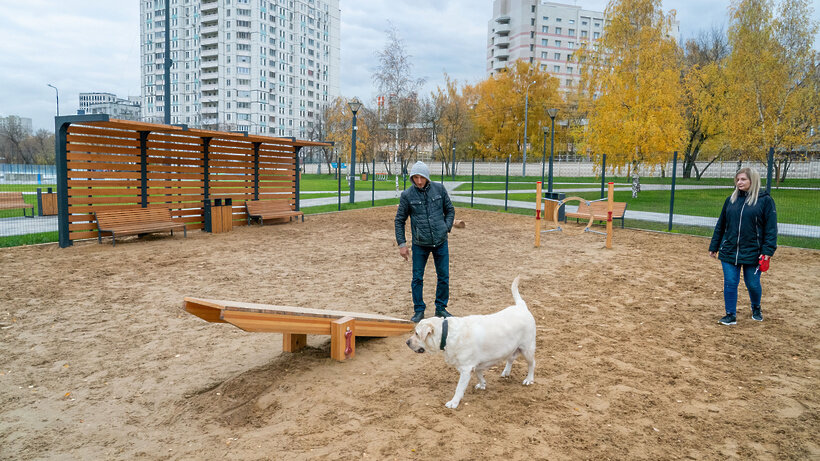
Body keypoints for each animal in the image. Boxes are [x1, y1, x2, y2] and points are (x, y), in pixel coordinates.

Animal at [406, 274, 540, 408]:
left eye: (417, 333)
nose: (407, 342)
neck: (447, 333)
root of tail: (521, 306)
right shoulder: (476, 364)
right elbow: (479, 374)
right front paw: (482, 384)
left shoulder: (466, 368)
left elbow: (459, 388)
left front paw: (454, 402)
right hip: (512, 347)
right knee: (511, 359)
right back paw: (506, 372)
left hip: (527, 348)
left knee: (532, 363)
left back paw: (529, 379)